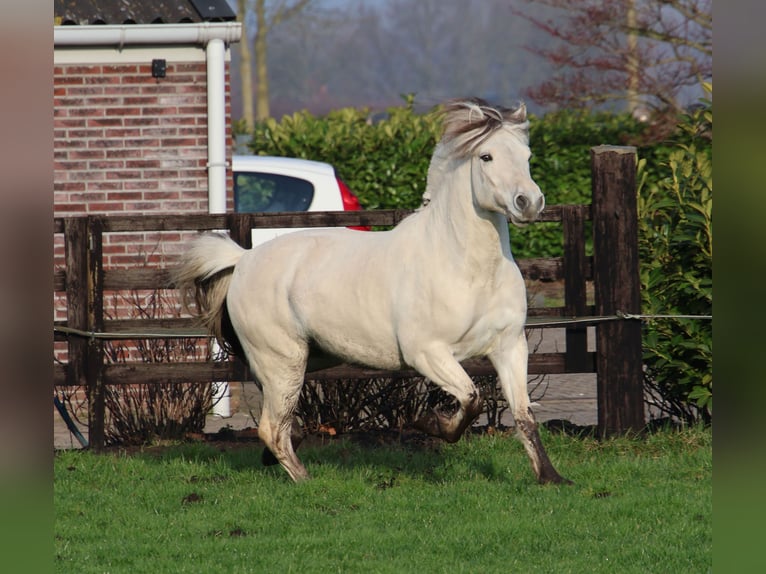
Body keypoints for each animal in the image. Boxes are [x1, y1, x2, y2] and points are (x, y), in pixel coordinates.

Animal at [174, 98, 570, 485]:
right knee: (272, 427)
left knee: (282, 421)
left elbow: (523, 414)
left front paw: (552, 478)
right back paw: (305, 480)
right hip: (282, 359)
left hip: (295, 360)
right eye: (486, 156)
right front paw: (430, 423)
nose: (529, 203)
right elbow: (471, 398)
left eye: (527, 155)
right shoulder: (427, 353)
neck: (468, 269)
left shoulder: (509, 346)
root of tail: (244, 259)